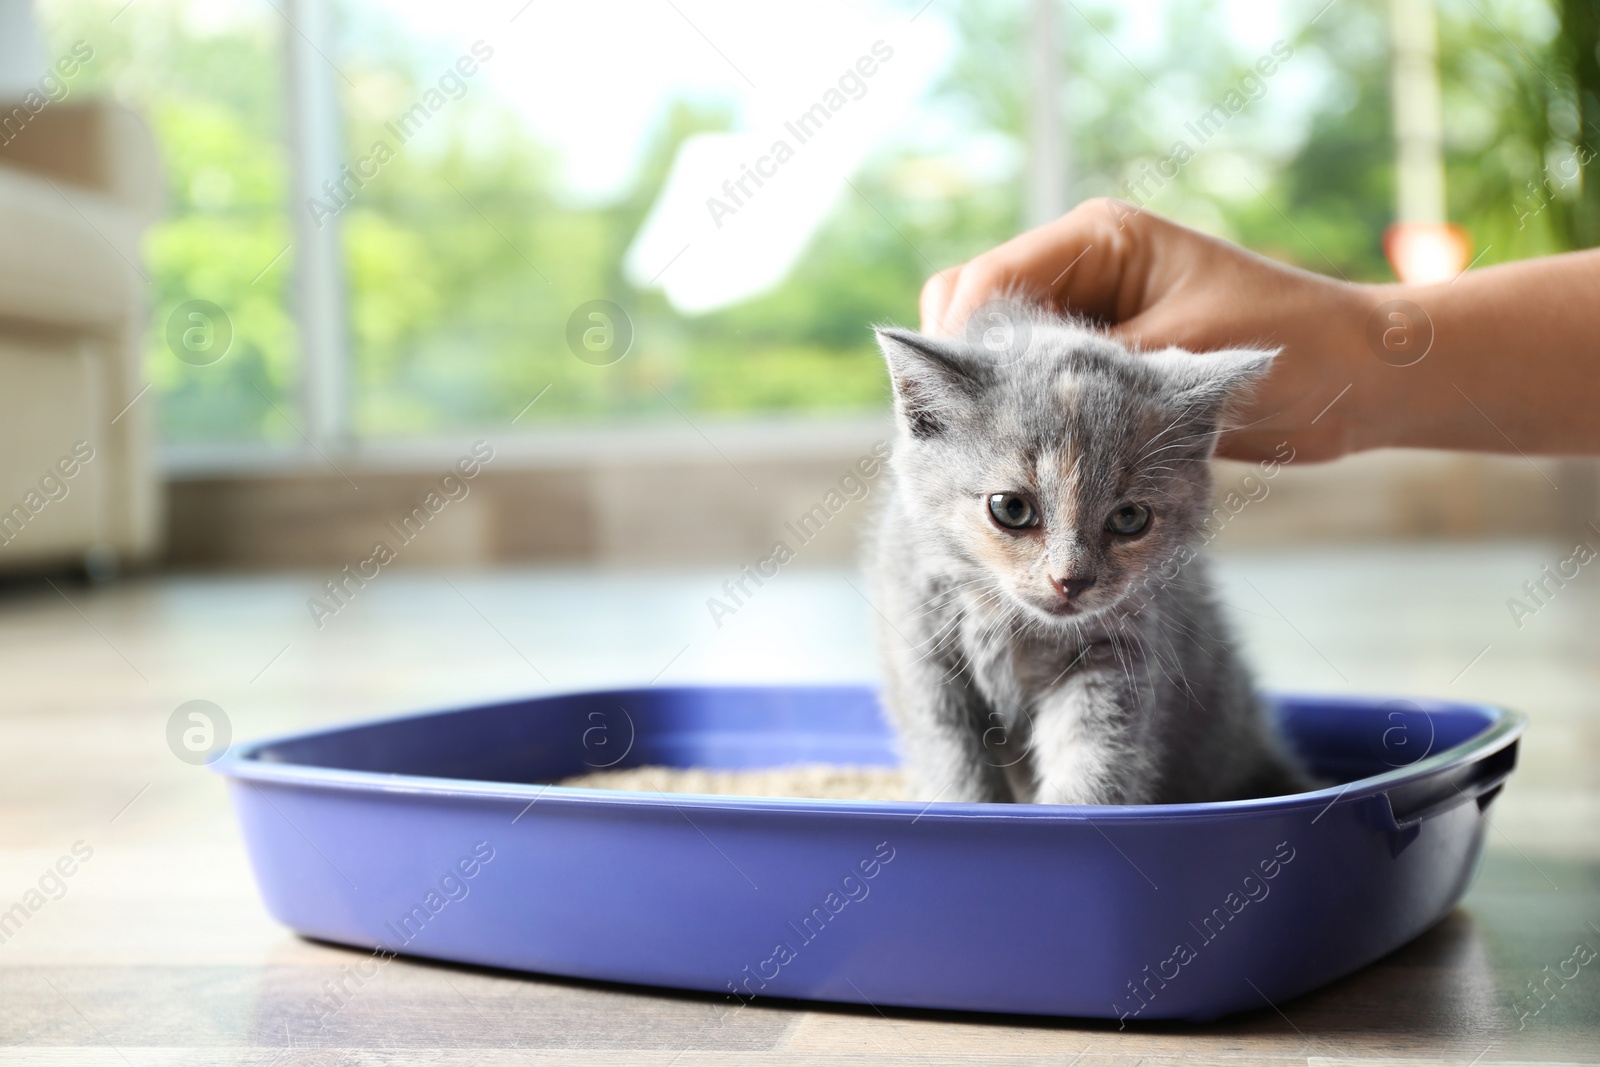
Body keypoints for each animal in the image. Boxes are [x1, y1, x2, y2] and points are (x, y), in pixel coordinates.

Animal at [870, 307, 1305, 799]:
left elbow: (1092, 755)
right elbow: (953, 762)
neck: (1017, 626)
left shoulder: (1119, 653)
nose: (1071, 580)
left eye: (1130, 518)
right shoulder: (924, 656)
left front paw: (1072, 808)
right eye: (1011, 508)